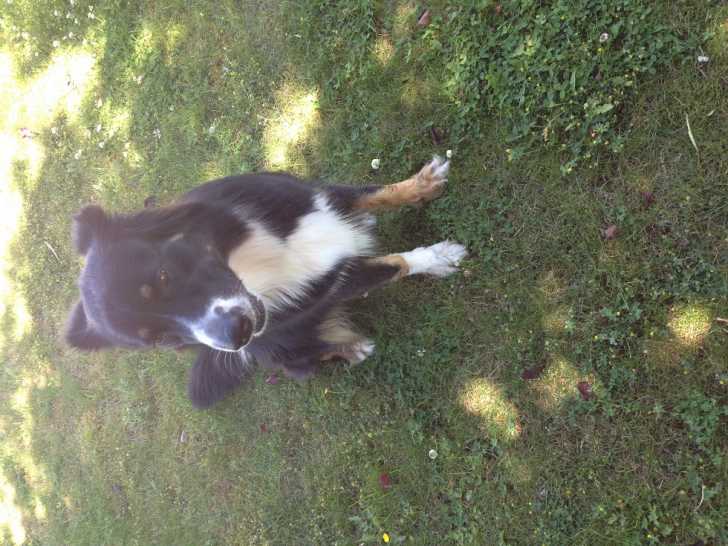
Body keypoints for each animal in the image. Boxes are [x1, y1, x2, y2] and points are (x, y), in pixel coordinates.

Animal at [65, 156, 467, 408]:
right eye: (165, 341)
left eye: (162, 275)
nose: (236, 335)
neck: (253, 263)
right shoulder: (338, 284)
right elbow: (396, 263)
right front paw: (439, 258)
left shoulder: (315, 198)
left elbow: (375, 192)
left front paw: (424, 184)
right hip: (282, 350)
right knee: (303, 361)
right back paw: (348, 348)